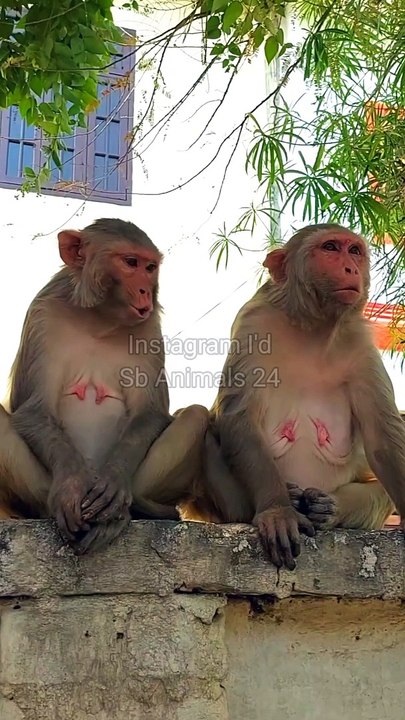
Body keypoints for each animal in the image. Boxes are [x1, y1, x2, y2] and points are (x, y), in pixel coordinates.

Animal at [0, 218, 210, 554]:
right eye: (131, 262)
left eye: (150, 267)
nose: (145, 290)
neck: (97, 319)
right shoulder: (42, 314)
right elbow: (34, 409)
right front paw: (72, 486)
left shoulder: (148, 329)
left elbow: (149, 413)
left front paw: (113, 480)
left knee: (196, 415)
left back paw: (131, 511)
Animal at [180, 223, 405, 571]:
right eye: (330, 248)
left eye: (354, 251)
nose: (351, 268)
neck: (313, 327)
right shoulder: (254, 324)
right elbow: (237, 418)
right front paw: (277, 510)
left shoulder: (360, 342)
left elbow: (383, 439)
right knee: (208, 426)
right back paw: (286, 498)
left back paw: (328, 508)